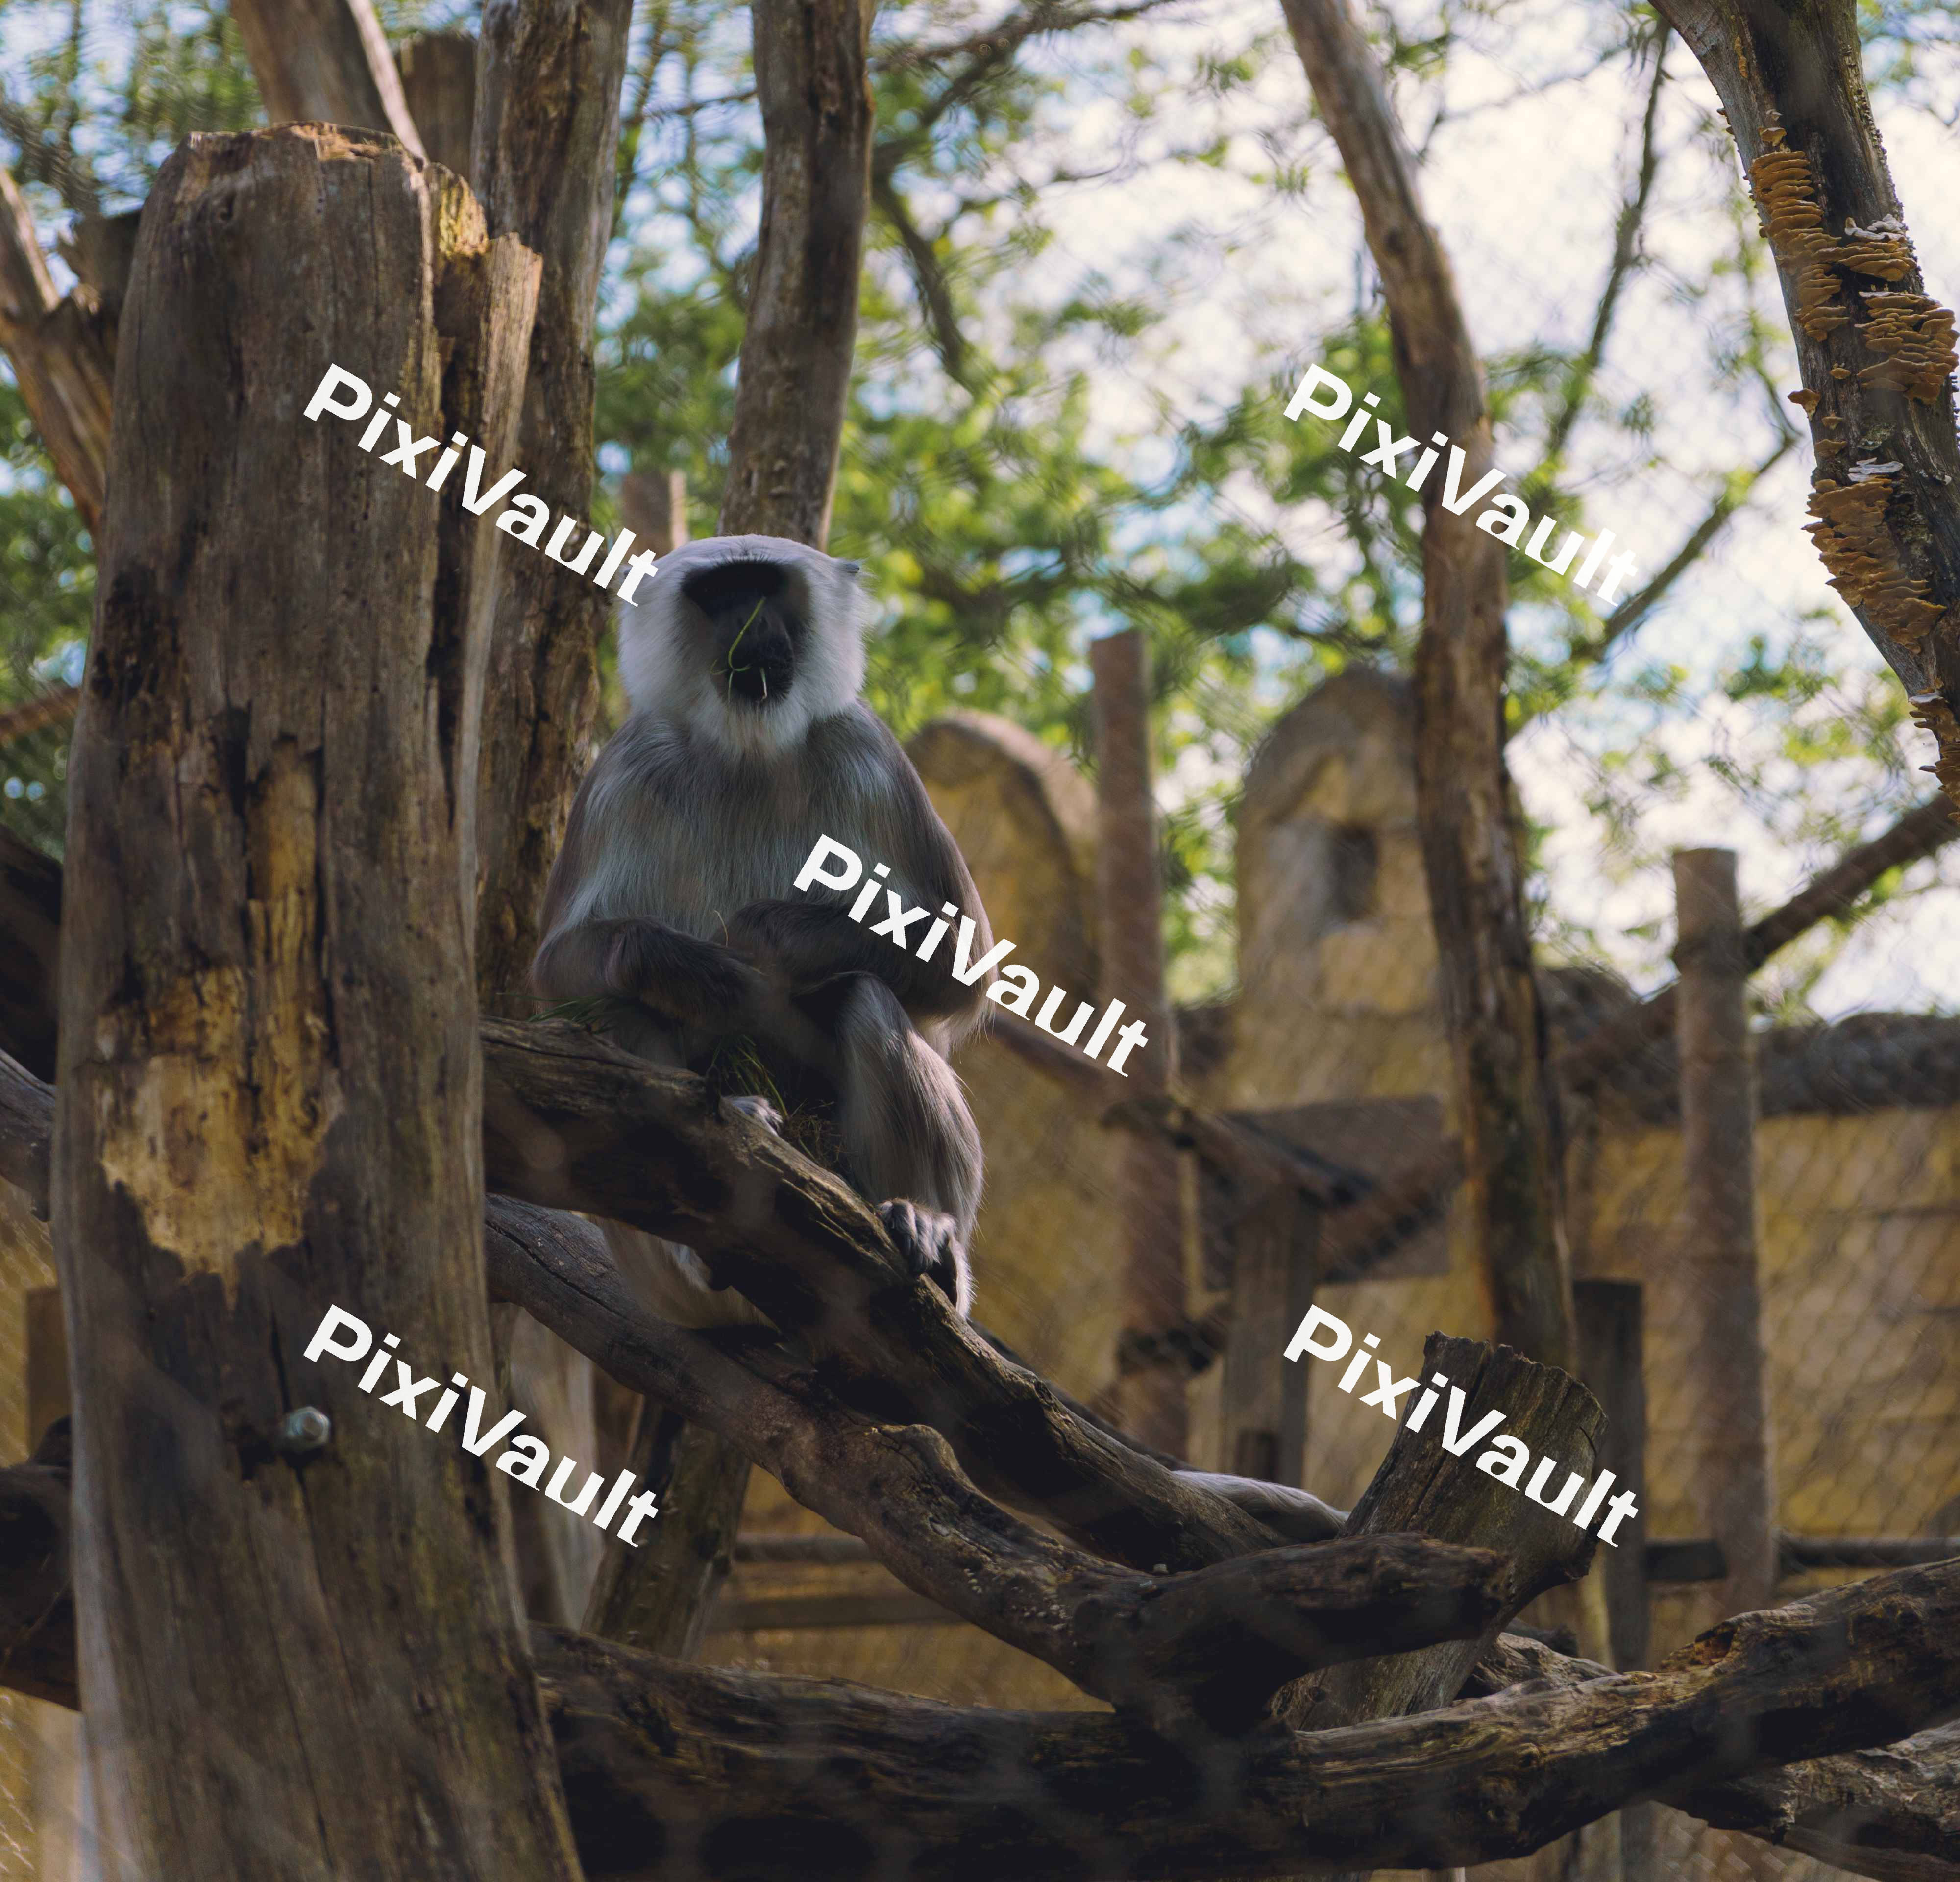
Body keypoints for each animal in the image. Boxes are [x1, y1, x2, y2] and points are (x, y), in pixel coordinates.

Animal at [531, 533, 988, 1330]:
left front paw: (769, 936)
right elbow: (558, 974)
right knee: (612, 1009)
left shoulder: (866, 748)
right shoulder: (626, 767)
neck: (748, 749)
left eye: (769, 587)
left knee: (865, 996)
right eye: (722, 594)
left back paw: (926, 1236)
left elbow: (962, 963)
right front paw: (678, 963)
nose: (755, 630)